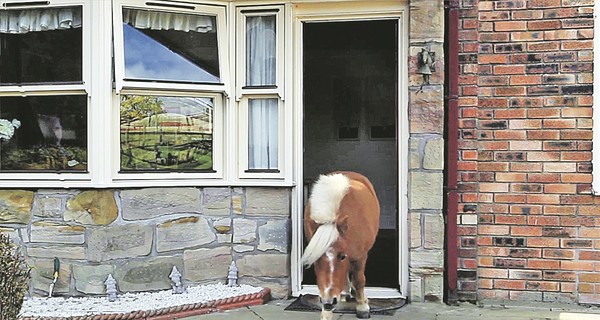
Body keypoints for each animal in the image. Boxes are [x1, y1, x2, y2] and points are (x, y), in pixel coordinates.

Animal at [300, 171, 380, 320]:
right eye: (316, 260)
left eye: (342, 256)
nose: (328, 302)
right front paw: (326, 314)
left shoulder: (360, 257)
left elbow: (359, 280)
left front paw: (362, 307)